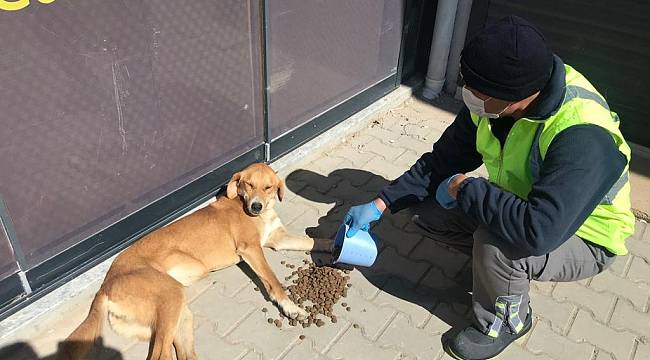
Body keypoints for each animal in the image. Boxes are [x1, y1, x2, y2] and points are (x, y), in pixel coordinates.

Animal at [55, 164, 332, 360]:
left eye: (268, 187)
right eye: (248, 184)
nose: (255, 206)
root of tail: (106, 285)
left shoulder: (278, 239)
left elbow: (313, 241)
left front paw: (335, 244)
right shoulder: (251, 250)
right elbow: (272, 280)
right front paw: (290, 307)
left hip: (178, 313)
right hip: (170, 297)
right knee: (160, 356)